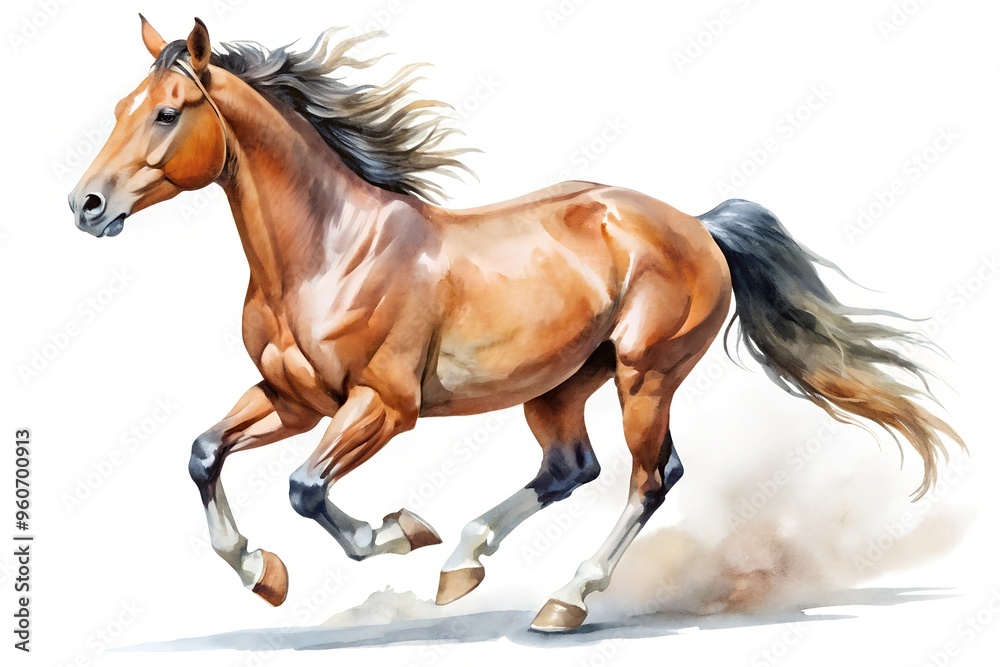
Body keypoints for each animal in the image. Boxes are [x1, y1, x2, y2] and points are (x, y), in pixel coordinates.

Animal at [68, 16, 964, 632]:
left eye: (168, 112)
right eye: (118, 106)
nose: (86, 205)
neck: (331, 250)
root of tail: (699, 225)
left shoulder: (382, 407)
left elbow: (306, 487)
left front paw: (400, 532)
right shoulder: (293, 397)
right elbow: (203, 453)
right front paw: (264, 573)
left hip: (646, 373)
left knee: (651, 477)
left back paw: (562, 600)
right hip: (560, 385)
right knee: (572, 467)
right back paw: (466, 564)